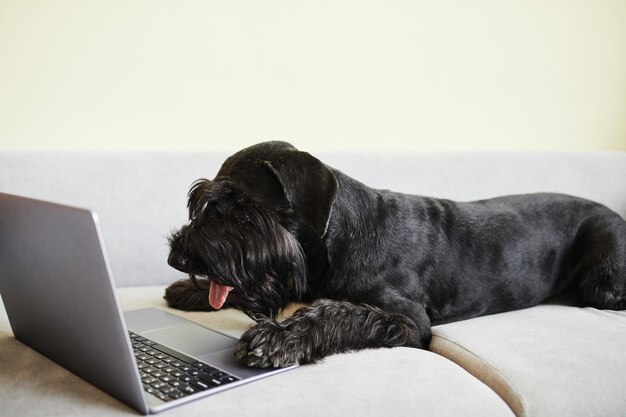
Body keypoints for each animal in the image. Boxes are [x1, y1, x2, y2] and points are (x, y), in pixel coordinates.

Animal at [166, 141, 624, 366]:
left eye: (240, 209)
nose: (178, 259)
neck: (338, 240)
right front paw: (189, 291)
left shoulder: (408, 321)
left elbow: (342, 313)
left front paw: (278, 339)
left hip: (603, 279)